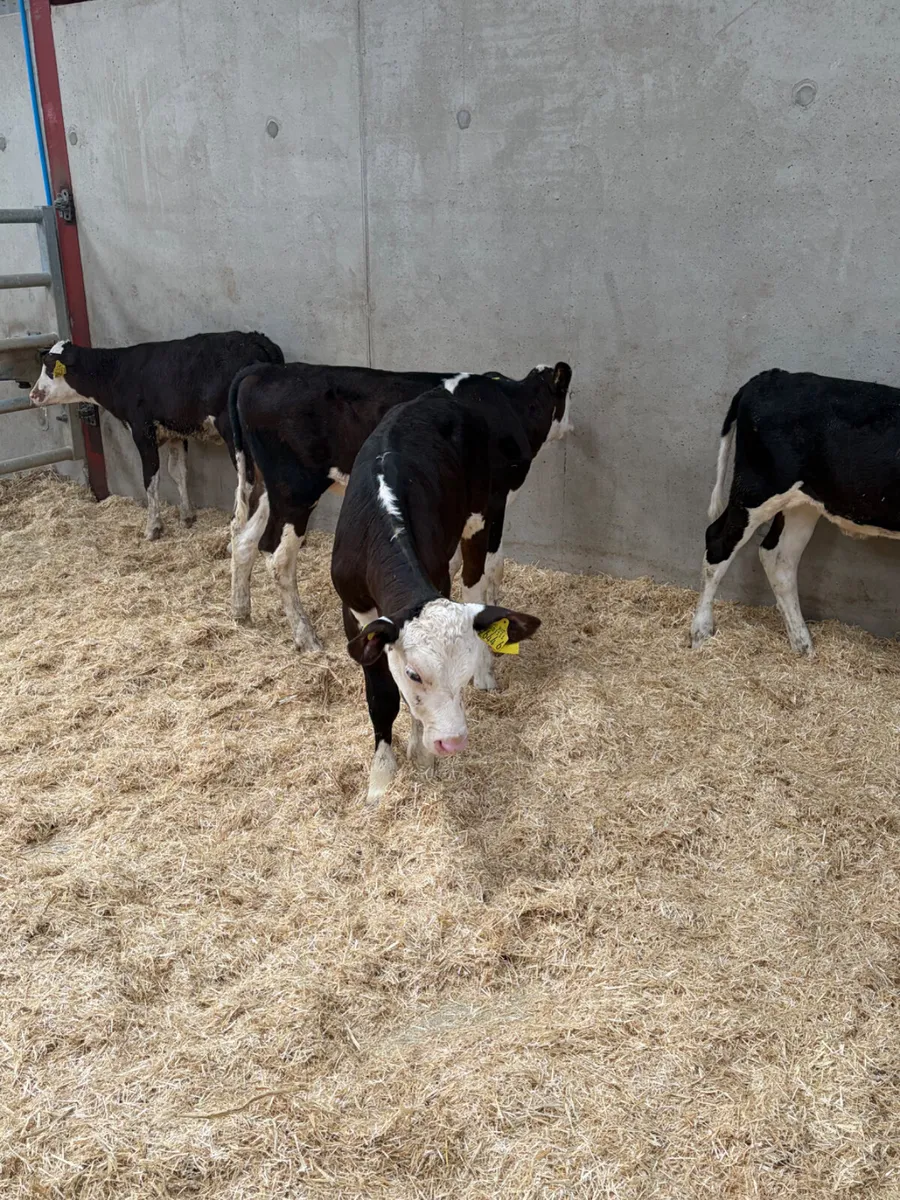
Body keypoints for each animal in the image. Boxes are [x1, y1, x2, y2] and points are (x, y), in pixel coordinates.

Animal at [29, 332, 283, 540]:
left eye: (50, 368)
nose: (33, 394)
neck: (118, 373)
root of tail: (256, 339)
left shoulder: (143, 432)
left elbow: (150, 477)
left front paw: (153, 527)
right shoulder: (175, 432)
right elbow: (178, 472)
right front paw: (187, 516)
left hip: (232, 432)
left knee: (247, 479)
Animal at [228, 361, 573, 653]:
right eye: (570, 394)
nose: (572, 428)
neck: (509, 405)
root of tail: (263, 370)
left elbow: (452, 562)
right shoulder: (495, 501)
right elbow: (493, 566)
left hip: (269, 490)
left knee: (244, 539)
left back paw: (241, 611)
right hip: (296, 492)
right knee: (278, 557)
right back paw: (306, 636)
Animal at [330, 363, 572, 801]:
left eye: (461, 670)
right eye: (414, 673)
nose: (454, 741)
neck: (382, 513)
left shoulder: (440, 574)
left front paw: (421, 754)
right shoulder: (356, 612)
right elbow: (382, 696)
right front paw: (381, 779)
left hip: (483, 512)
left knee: (479, 577)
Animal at [691, 368, 900, 654]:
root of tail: (773, 375)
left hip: (800, 504)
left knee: (779, 558)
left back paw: (802, 644)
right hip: (756, 490)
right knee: (718, 542)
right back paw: (700, 632)